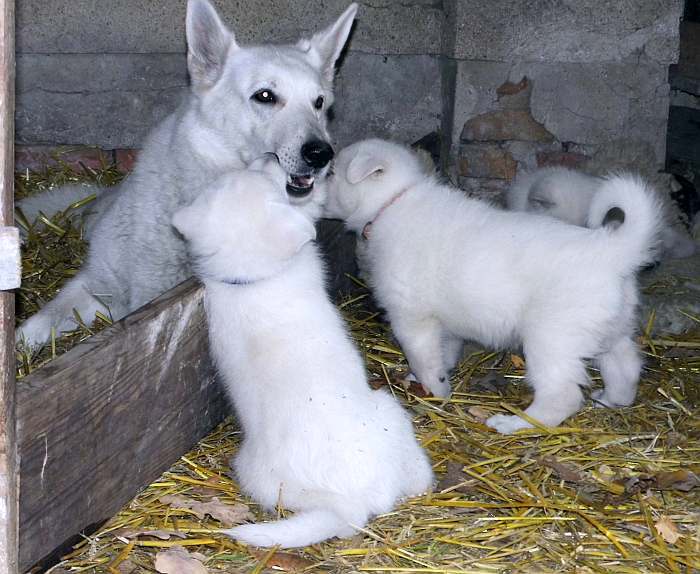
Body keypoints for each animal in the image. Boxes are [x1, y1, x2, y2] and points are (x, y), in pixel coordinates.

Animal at [324, 141, 660, 436]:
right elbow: (443, 353)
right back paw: (612, 399)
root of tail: (613, 251)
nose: (311, 183)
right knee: (626, 366)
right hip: (611, 330)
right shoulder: (445, 324)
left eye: (331, 173)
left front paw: (435, 390)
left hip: (552, 340)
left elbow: (423, 359)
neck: (393, 202)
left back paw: (515, 424)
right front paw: (437, 379)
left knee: (561, 396)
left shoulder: (411, 318)